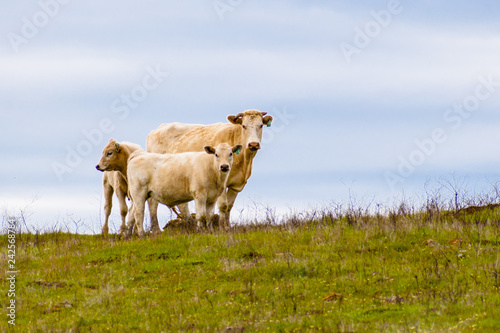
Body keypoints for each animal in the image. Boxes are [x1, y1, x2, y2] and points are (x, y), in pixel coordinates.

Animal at [146, 109, 276, 228]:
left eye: (261, 125)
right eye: (244, 126)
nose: (253, 144)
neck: (244, 161)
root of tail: (158, 129)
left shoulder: (236, 185)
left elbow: (229, 206)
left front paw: (227, 227)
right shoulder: (222, 182)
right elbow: (223, 206)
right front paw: (222, 228)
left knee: (182, 204)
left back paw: (190, 224)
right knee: (153, 202)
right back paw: (157, 230)